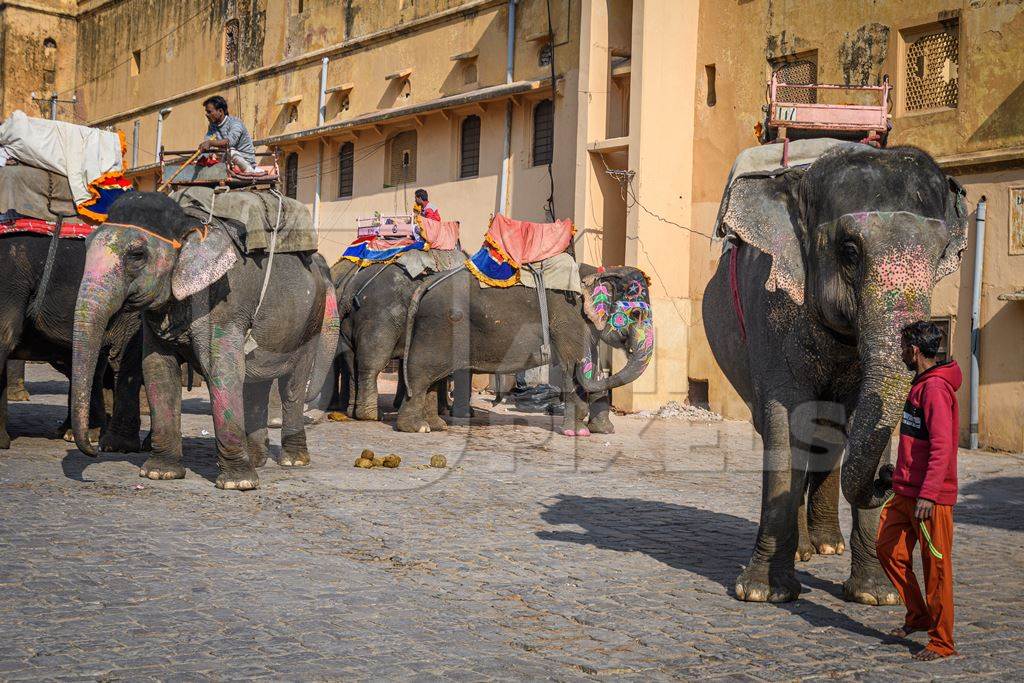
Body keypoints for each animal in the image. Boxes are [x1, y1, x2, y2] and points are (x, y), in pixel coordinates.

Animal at [70, 192, 339, 491]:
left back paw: (293, 461)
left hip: (309, 323)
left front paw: (238, 484)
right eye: (85, 246)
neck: (188, 223)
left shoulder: (223, 304)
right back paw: (258, 459)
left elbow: (222, 370)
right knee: (256, 384)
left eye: (136, 255)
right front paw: (160, 473)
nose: (94, 449)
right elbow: (158, 370)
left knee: (292, 384)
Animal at [395, 264, 651, 436]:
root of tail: (426, 284)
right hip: (436, 327)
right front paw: (576, 433)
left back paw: (436, 426)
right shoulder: (569, 317)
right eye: (636, 313)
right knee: (421, 374)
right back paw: (417, 428)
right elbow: (574, 365)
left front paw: (604, 431)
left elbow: (591, 368)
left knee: (433, 379)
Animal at [704, 144, 966, 602]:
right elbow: (784, 422)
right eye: (849, 251)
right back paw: (807, 551)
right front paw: (762, 592)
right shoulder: (769, 314)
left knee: (831, 435)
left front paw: (876, 595)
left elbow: (866, 419)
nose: (886, 479)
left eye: (939, 256)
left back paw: (827, 546)